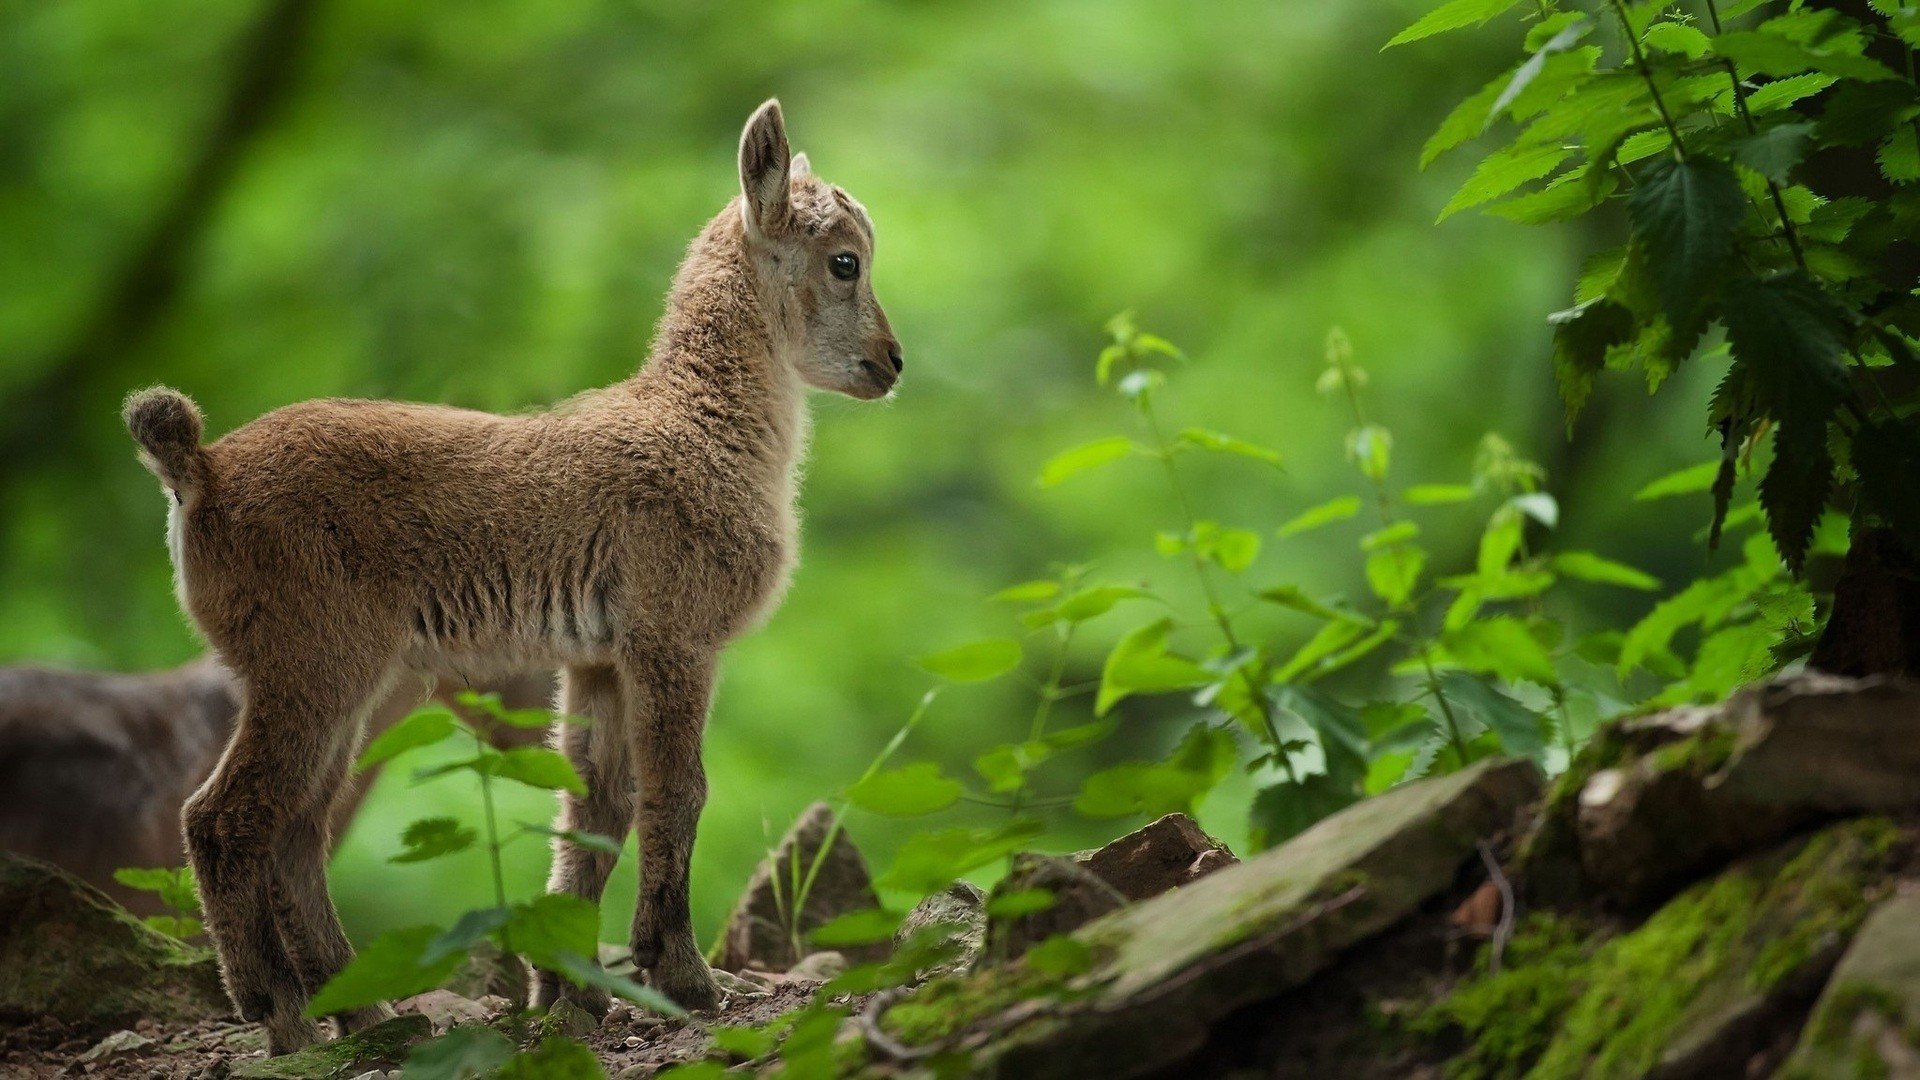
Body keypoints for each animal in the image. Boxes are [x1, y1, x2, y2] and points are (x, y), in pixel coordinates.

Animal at [122, 100, 900, 1053]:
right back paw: (283, 1018)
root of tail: (200, 475)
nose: (890, 363)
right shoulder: (673, 635)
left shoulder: (597, 658)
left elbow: (595, 810)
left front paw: (572, 991)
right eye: (844, 261)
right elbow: (676, 794)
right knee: (226, 819)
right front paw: (685, 978)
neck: (701, 427)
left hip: (359, 681)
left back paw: (369, 1011)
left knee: (300, 828)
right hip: (310, 661)